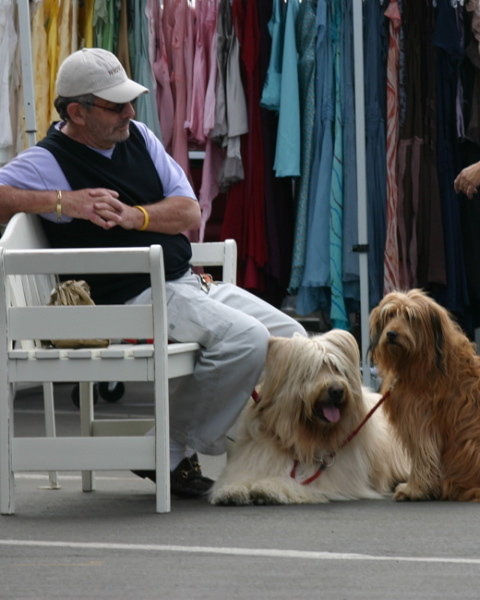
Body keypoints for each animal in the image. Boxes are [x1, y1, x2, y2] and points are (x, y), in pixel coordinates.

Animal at [210, 330, 408, 504]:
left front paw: (268, 487)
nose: (337, 391)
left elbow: (291, 482)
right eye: (310, 371)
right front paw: (233, 489)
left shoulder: (328, 478)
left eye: (337, 368)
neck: (305, 437)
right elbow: (239, 477)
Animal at [372, 290, 480, 502]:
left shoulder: (421, 419)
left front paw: (413, 489)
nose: (391, 334)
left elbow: (423, 455)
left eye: (411, 317)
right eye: (390, 315)